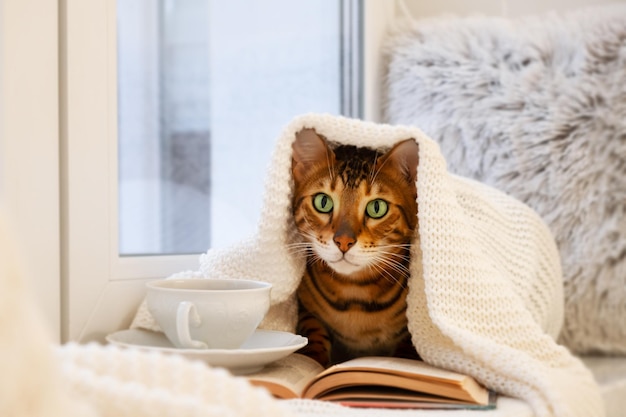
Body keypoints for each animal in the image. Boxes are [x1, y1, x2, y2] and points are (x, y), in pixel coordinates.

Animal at [288, 128, 420, 366]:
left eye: (377, 207)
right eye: (323, 202)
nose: (343, 241)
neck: (355, 294)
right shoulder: (304, 310)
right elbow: (313, 329)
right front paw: (312, 359)